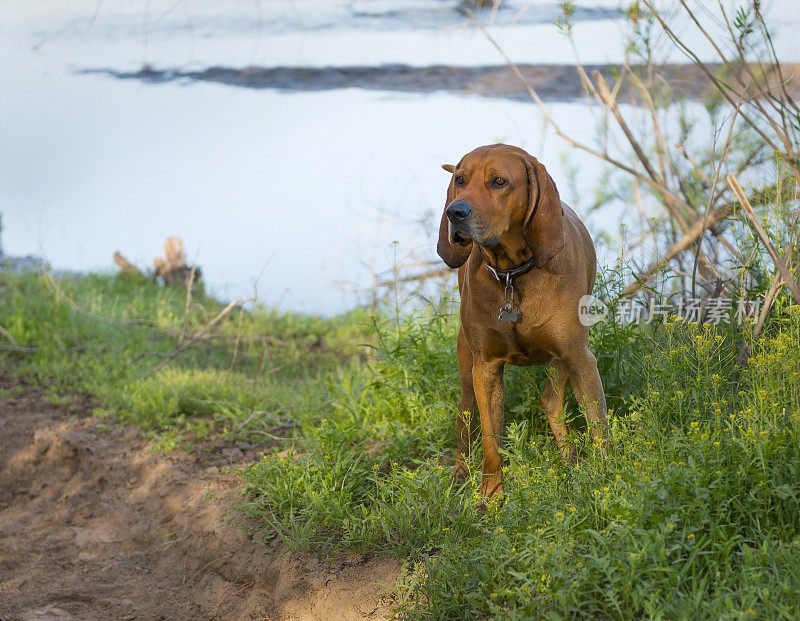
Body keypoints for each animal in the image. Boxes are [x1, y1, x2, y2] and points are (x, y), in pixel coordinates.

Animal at [434, 144, 608, 498]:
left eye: (499, 181)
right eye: (460, 180)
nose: (454, 213)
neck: (512, 274)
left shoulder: (579, 357)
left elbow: (599, 425)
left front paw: (610, 478)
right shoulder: (485, 368)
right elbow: (490, 441)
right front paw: (490, 496)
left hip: (562, 359)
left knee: (551, 401)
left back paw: (570, 458)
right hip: (467, 364)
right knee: (464, 415)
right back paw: (459, 471)